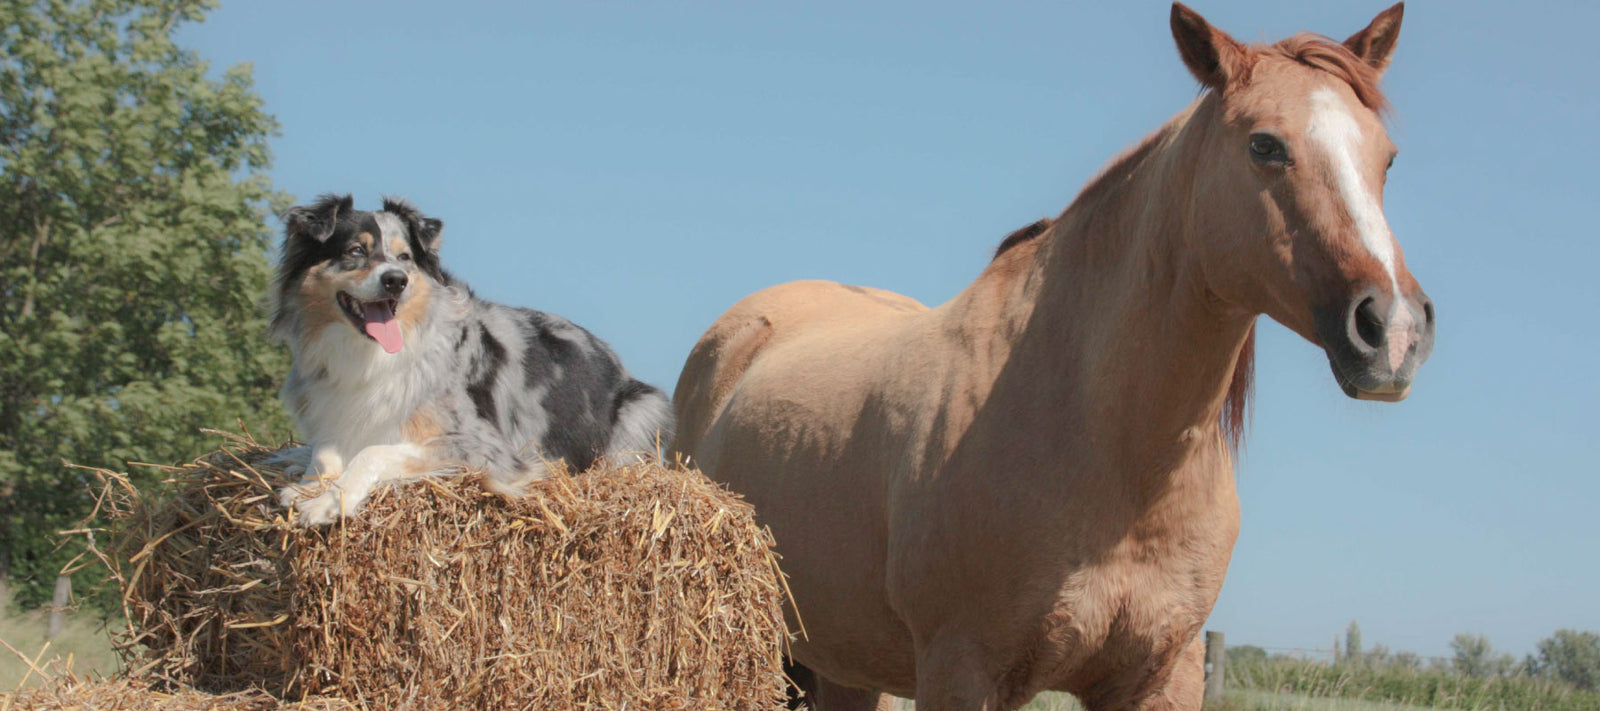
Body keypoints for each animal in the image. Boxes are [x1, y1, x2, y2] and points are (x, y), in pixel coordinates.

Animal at [272, 194, 672, 528]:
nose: (396, 281)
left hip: (644, 408)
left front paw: (327, 502)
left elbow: (373, 452)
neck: (370, 356)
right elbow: (324, 453)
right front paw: (306, 485)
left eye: (405, 258)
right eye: (356, 250)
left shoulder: (482, 446)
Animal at [668, 2, 1433, 707]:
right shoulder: (962, 668)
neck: (1113, 454)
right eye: (1266, 146)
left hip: (843, 665)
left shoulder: (1161, 675)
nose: (1392, 329)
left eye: (1387, 158)